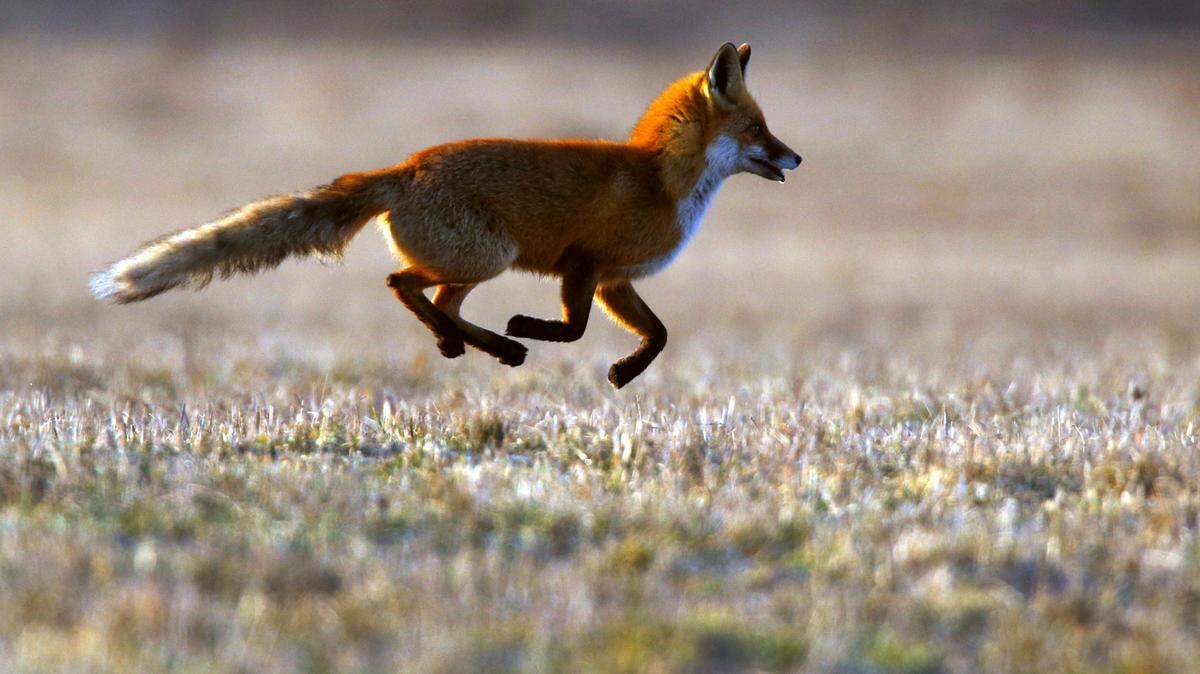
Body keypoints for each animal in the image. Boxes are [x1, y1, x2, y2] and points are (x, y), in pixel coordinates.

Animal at [90, 42, 801, 388]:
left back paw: (471, 344)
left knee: (438, 301)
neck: (662, 181)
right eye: (758, 129)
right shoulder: (584, 263)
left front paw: (624, 372)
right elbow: (573, 330)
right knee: (403, 284)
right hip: (487, 256)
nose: (796, 157)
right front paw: (535, 328)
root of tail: (404, 166)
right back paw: (490, 341)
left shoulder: (613, 281)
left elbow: (658, 336)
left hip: (475, 262)